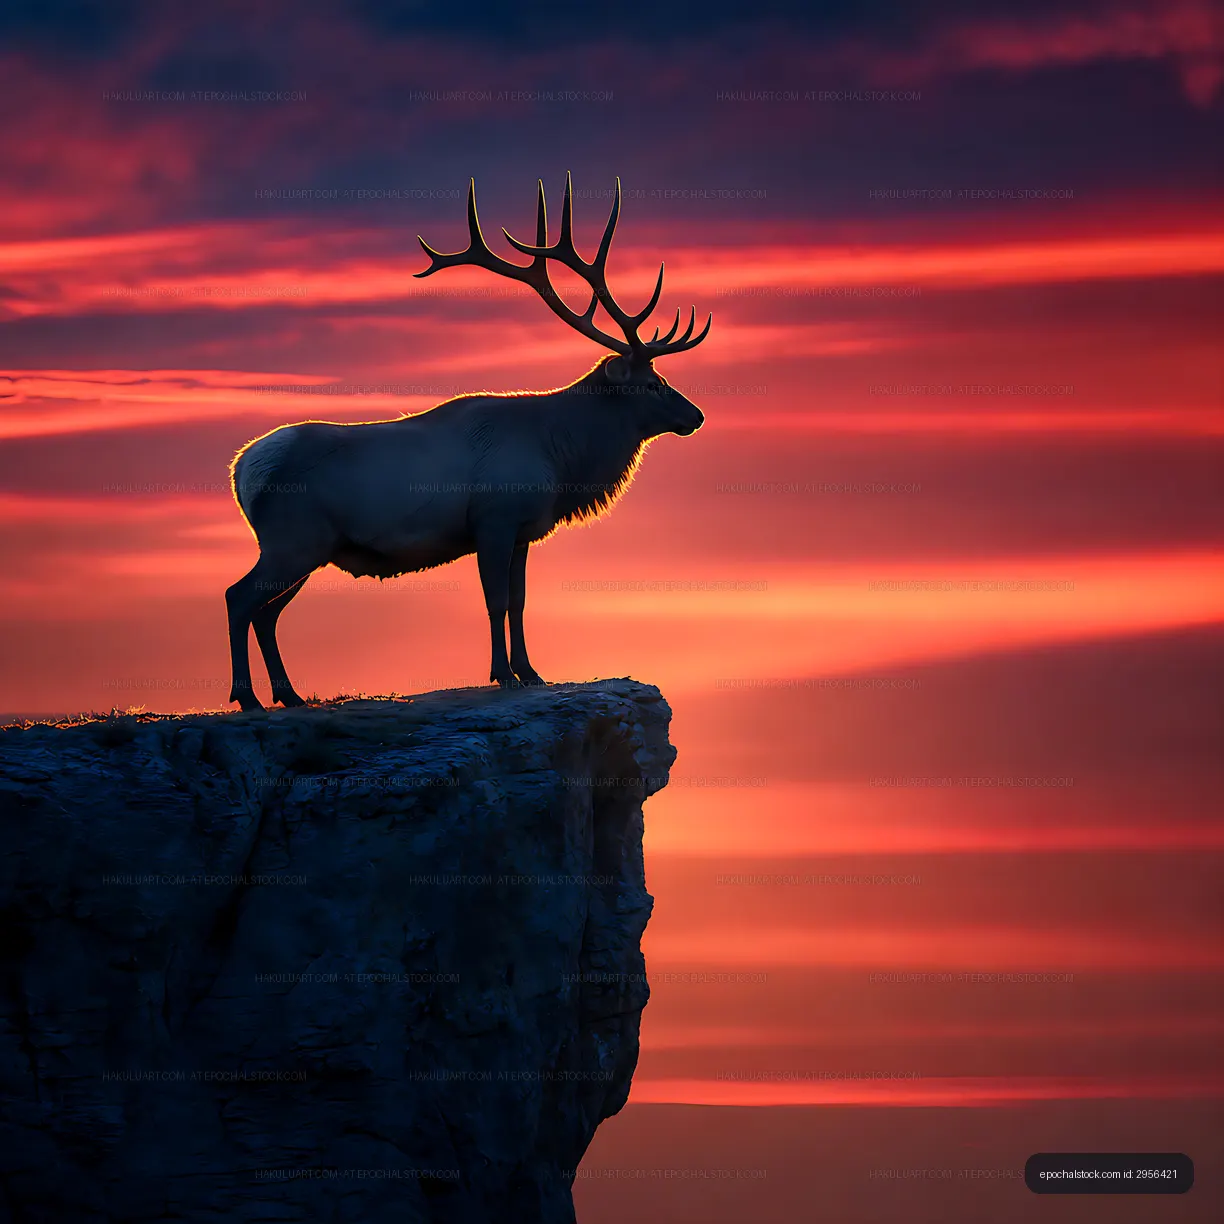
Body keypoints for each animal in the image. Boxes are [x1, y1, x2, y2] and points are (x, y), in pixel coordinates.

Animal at [225, 173, 712, 711]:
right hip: (291, 539)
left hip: (308, 548)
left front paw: (532, 672)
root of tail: (243, 469)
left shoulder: (523, 531)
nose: (696, 415)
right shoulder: (493, 519)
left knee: (267, 611)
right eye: (652, 384)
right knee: (239, 598)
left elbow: (518, 601)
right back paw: (247, 697)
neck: (560, 456)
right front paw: (504, 674)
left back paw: (288, 695)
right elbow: (495, 600)